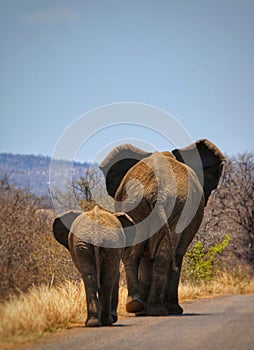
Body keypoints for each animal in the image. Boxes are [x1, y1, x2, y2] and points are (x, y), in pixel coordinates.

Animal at [99, 139, 226, 314]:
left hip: (137, 207)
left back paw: (137, 306)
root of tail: (157, 193)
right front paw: (174, 310)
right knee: (164, 256)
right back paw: (156, 310)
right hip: (168, 209)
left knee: (133, 254)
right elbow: (177, 256)